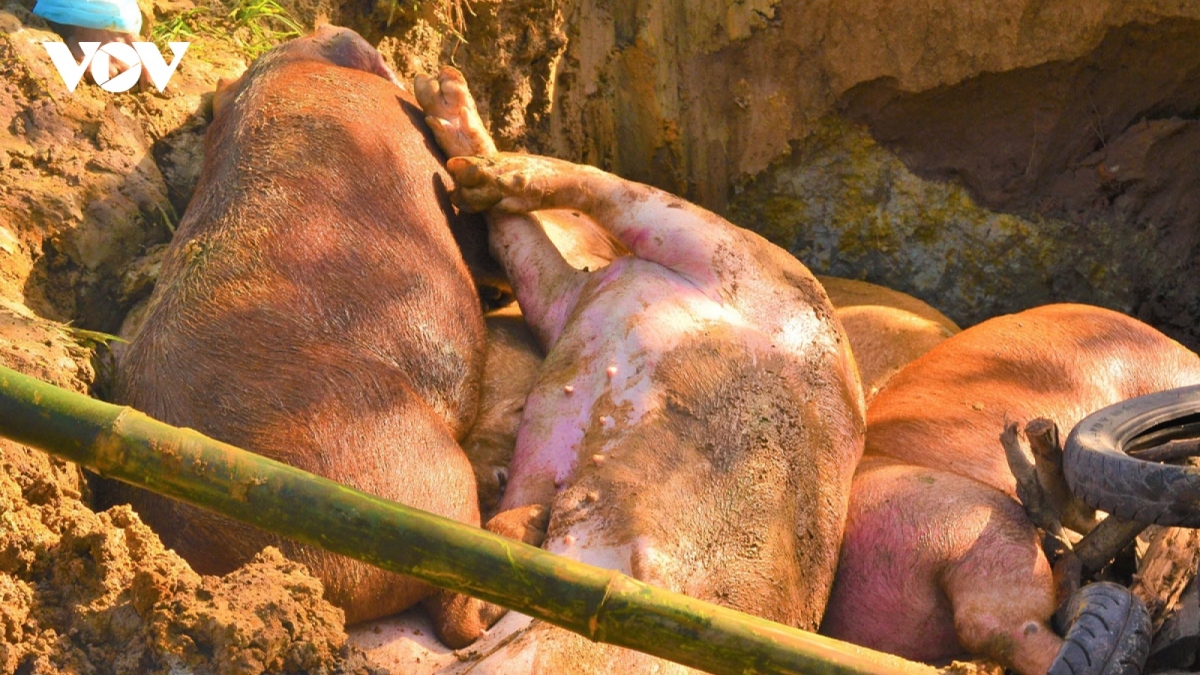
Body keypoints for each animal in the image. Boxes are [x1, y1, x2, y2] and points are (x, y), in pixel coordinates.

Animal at [414, 66, 865, 668]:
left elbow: (457, 608)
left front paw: (533, 517)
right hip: (723, 257)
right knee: (591, 207)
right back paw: (449, 115)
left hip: (648, 283)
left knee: (551, 244)